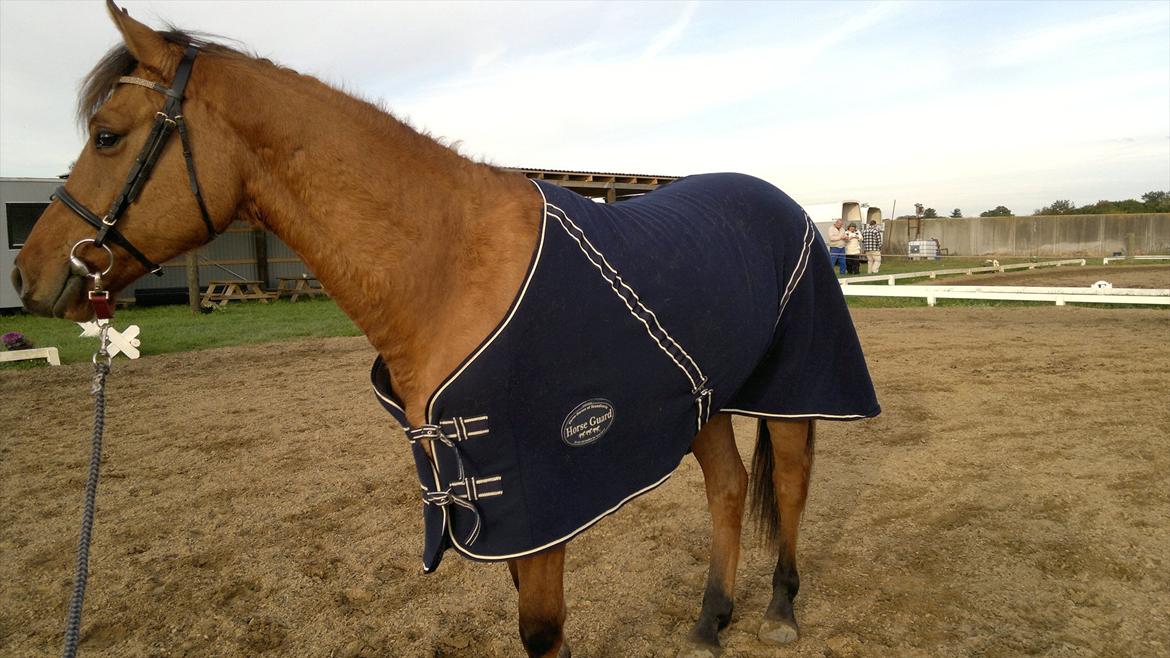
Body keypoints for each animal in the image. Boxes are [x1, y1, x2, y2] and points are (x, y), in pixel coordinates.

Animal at [12, 3, 879, 656]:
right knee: (728, 489)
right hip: (702, 395)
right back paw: (709, 621)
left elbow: (541, 631)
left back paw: (780, 610)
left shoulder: (535, 497)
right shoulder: (493, 504)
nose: (27, 273)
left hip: (795, 385)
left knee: (791, 483)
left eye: (108, 135)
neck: (448, 266)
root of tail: (783, 202)